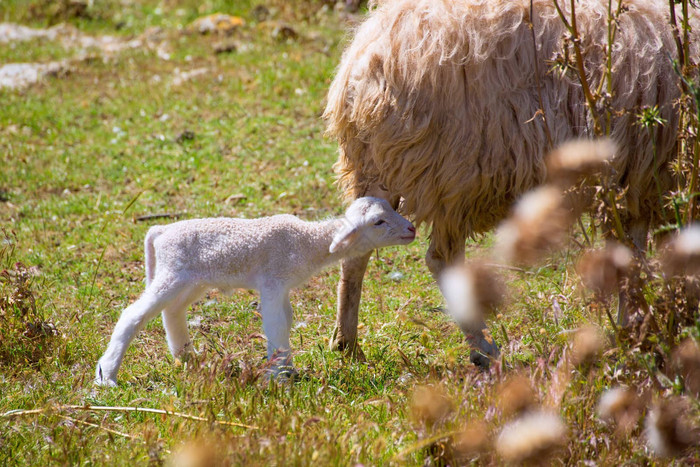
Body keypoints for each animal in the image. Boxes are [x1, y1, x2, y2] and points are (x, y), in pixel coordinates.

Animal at [97, 197, 416, 388]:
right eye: (378, 222)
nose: (412, 229)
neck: (307, 242)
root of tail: (160, 231)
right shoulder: (272, 283)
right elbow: (276, 326)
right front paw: (280, 378)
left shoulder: (282, 287)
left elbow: (286, 322)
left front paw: (287, 369)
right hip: (172, 273)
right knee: (132, 315)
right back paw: (106, 376)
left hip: (191, 280)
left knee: (172, 311)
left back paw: (187, 357)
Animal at [322, 0, 696, 362]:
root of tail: (367, 56)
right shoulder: (640, 177)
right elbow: (631, 259)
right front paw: (635, 336)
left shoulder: (635, 186)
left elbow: (630, 257)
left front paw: (633, 332)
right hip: (455, 172)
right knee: (441, 258)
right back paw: (485, 349)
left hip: (379, 167)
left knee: (357, 251)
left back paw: (346, 343)